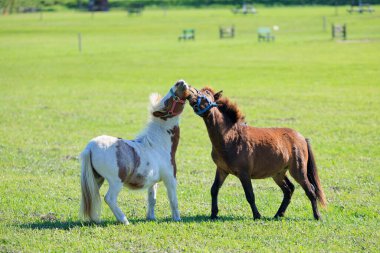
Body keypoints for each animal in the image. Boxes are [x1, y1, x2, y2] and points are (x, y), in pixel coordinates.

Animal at [79, 80, 189, 224]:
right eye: (169, 101)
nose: (180, 82)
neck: (158, 144)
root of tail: (90, 147)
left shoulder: (153, 182)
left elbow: (152, 199)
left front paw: (151, 217)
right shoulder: (170, 178)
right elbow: (173, 200)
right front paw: (177, 219)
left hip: (96, 178)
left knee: (92, 195)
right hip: (115, 182)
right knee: (109, 198)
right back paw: (124, 220)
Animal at [187, 86, 326, 219]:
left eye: (206, 95)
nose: (190, 96)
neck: (230, 137)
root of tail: (302, 138)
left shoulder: (244, 173)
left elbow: (250, 195)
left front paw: (257, 215)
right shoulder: (222, 170)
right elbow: (214, 189)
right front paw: (213, 214)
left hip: (298, 170)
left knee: (310, 190)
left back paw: (317, 216)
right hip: (278, 173)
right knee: (289, 189)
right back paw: (278, 214)